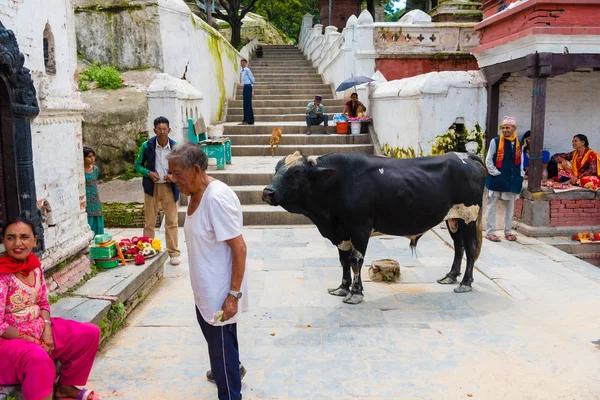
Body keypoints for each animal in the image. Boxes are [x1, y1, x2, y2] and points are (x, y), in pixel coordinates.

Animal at [262, 152, 488, 304]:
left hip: (469, 216)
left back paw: (465, 283)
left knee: (470, 248)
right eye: (276, 169)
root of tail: (464, 155)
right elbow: (344, 260)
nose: (267, 192)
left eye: (296, 172)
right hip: (454, 219)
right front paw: (342, 288)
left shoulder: (360, 229)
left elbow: (356, 261)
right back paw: (450, 276)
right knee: (459, 246)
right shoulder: (341, 233)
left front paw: (356, 293)